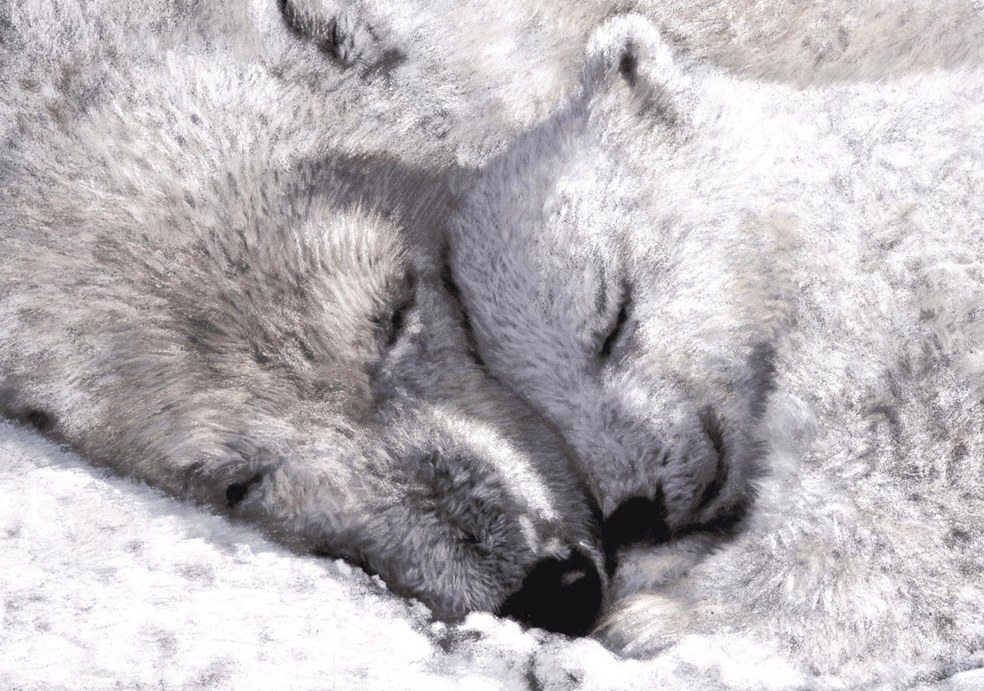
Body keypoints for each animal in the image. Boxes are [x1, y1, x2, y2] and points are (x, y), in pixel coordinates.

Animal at [449, 13, 984, 678]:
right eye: (538, 409)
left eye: (613, 314)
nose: (638, 510)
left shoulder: (907, 290)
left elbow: (903, 467)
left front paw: (662, 616)